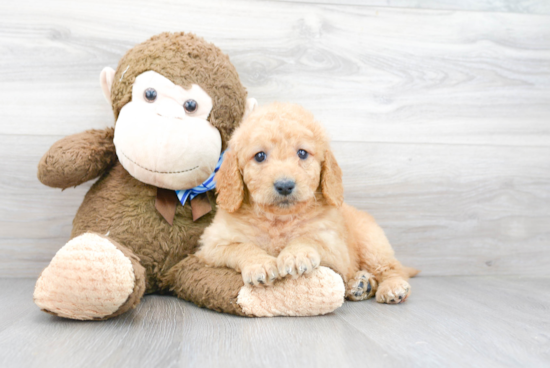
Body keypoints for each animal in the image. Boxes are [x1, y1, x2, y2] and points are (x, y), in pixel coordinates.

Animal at [196, 102, 420, 304]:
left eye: (302, 153)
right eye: (259, 156)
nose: (285, 185)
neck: (278, 220)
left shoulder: (335, 248)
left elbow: (309, 238)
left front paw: (296, 254)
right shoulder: (211, 247)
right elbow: (241, 246)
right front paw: (260, 264)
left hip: (372, 243)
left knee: (391, 268)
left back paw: (391, 287)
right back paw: (361, 284)